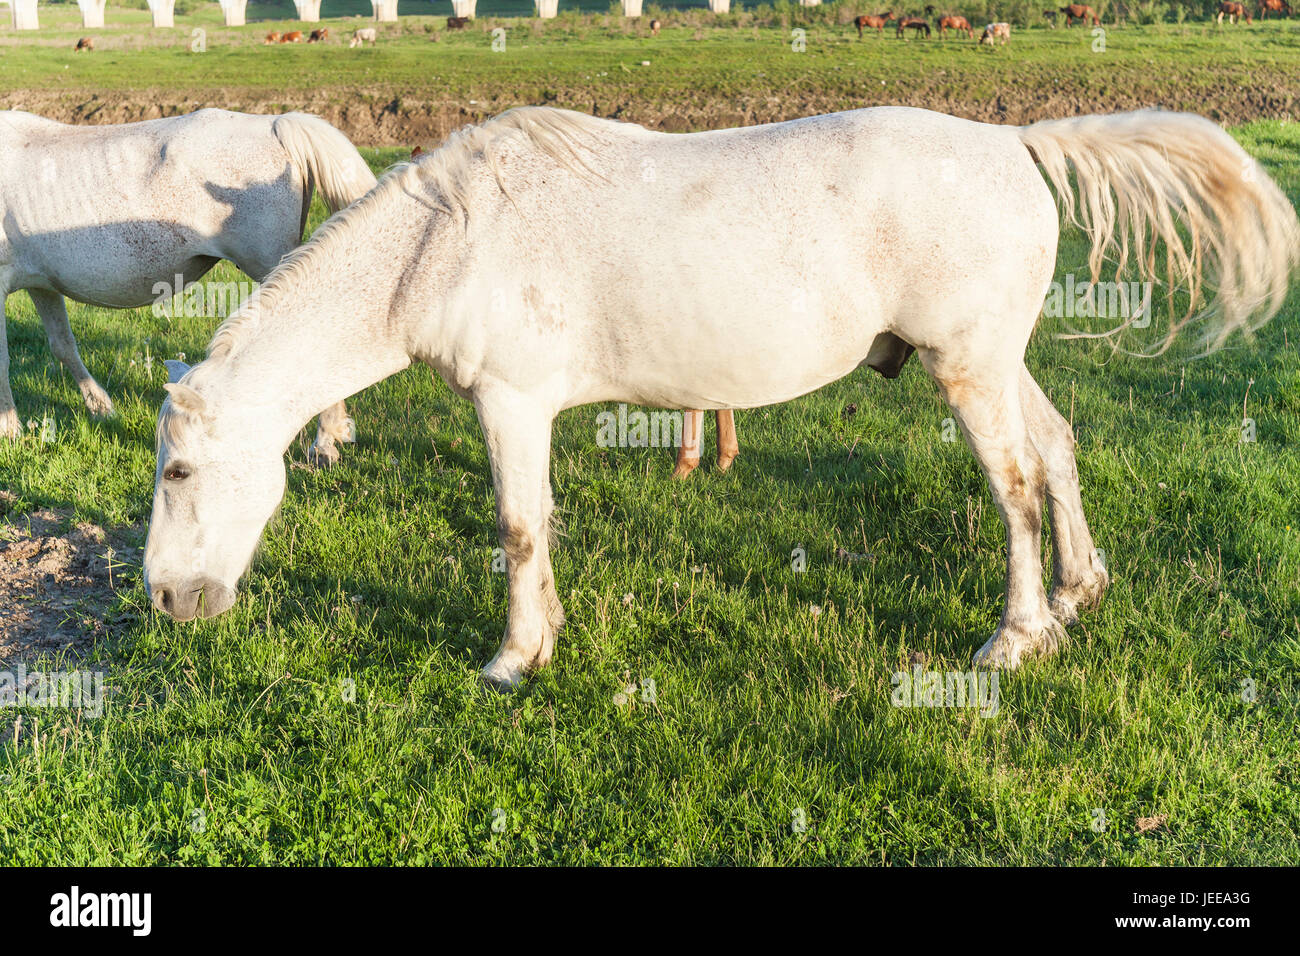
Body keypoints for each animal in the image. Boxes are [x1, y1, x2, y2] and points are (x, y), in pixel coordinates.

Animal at [0, 109, 377, 464]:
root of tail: (275, 124)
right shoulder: (43, 285)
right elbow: (63, 346)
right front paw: (101, 408)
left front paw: (9, 430)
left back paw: (323, 443)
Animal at [142, 106, 1299, 691]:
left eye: (180, 469)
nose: (164, 599)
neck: (446, 236)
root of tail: (1012, 141)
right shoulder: (528, 413)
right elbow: (543, 523)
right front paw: (546, 635)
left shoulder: (509, 401)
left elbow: (515, 526)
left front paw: (511, 658)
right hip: (995, 358)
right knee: (1055, 449)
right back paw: (1077, 590)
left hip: (968, 367)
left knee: (1012, 481)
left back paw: (1017, 634)